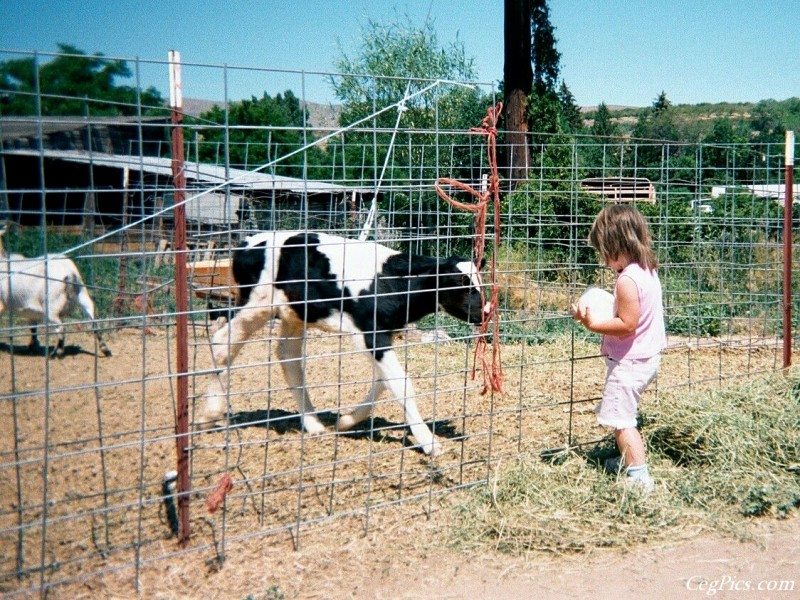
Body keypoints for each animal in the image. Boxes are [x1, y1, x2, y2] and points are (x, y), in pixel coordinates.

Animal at [0, 226, 112, 356]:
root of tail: (69, 273)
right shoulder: (31, 310)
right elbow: (33, 328)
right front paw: (32, 346)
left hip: (51, 306)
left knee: (61, 328)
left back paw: (55, 353)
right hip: (83, 295)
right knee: (95, 322)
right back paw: (105, 349)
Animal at [203, 232, 488, 458]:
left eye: (480, 282)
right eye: (462, 284)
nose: (486, 312)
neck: (390, 281)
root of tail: (245, 243)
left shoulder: (382, 334)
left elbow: (383, 381)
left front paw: (346, 421)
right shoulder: (370, 332)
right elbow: (401, 383)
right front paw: (430, 443)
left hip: (294, 313)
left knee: (288, 356)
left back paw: (314, 425)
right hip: (257, 304)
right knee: (223, 342)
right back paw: (210, 414)